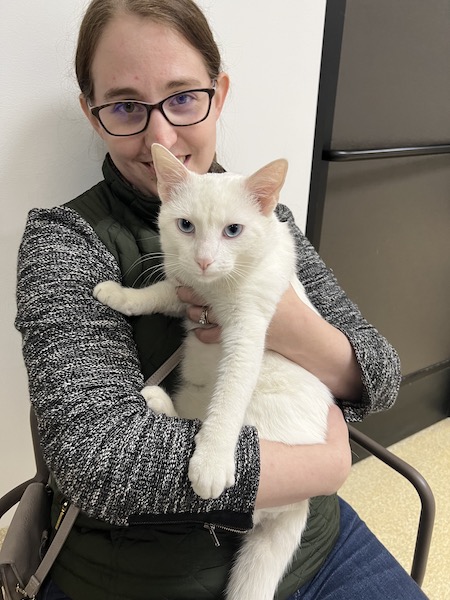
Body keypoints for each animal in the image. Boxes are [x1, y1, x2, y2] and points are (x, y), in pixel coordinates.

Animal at [94, 144, 334, 600]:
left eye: (233, 230)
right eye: (185, 225)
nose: (204, 260)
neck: (215, 289)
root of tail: (299, 503)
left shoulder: (248, 331)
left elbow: (230, 397)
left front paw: (212, 459)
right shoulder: (186, 289)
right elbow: (161, 292)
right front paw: (122, 295)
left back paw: (161, 403)